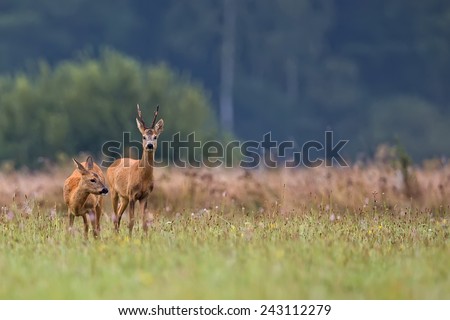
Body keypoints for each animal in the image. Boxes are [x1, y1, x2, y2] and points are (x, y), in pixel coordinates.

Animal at [106, 105, 164, 235]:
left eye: (155, 137)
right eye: (143, 136)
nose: (149, 145)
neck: (142, 176)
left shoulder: (145, 196)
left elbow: (144, 223)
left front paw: (145, 238)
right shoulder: (132, 194)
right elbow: (131, 222)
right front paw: (130, 237)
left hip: (124, 197)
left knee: (118, 215)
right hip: (113, 190)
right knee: (115, 215)